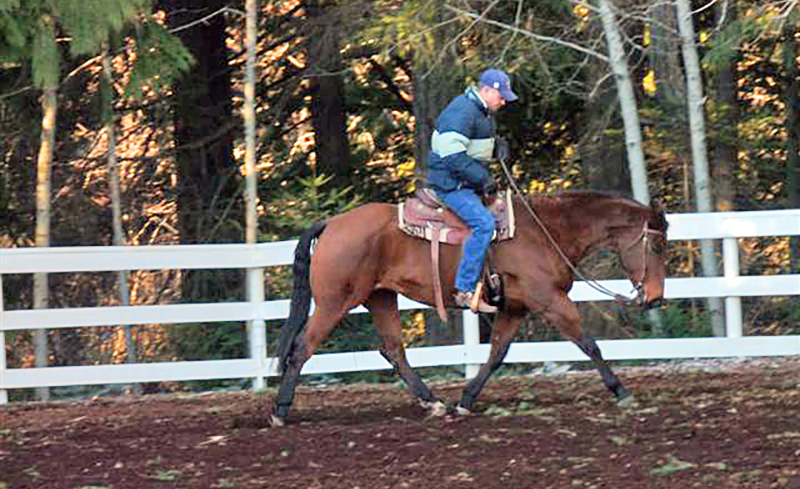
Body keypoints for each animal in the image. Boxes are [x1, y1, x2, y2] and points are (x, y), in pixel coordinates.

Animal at [270, 191, 668, 426]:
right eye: (658, 245)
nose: (655, 297)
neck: (546, 230)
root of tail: (332, 223)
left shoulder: (514, 309)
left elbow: (496, 354)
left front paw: (465, 399)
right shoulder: (550, 301)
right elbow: (589, 343)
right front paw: (621, 391)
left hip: (380, 297)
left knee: (393, 351)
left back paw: (433, 402)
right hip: (335, 302)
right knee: (302, 348)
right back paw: (279, 411)